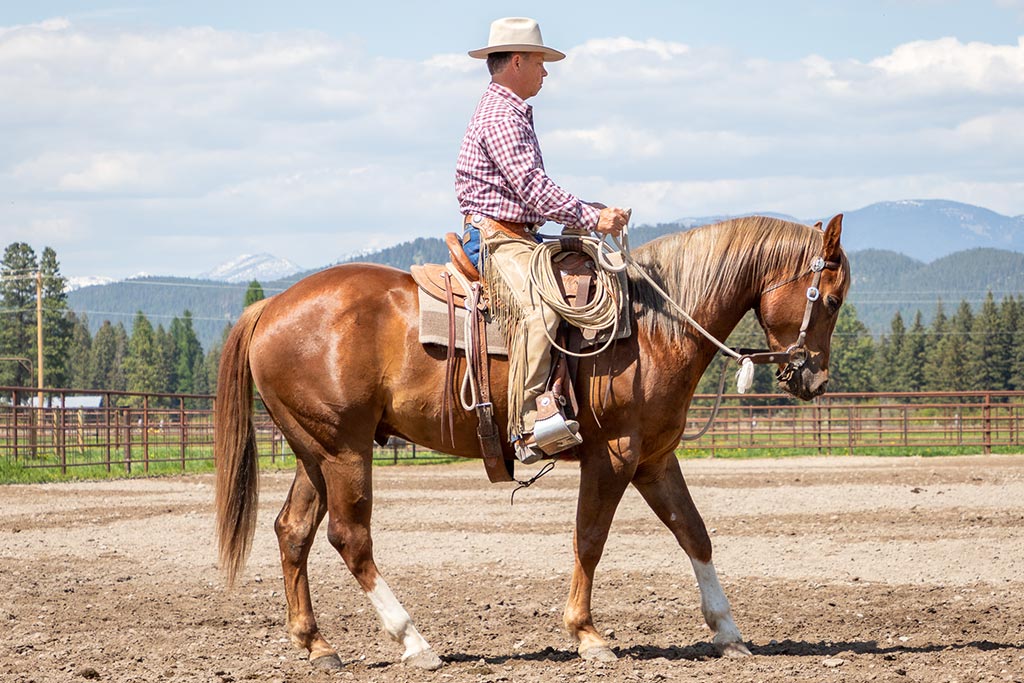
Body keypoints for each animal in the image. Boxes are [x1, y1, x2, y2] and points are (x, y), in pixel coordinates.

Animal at [214, 215, 847, 671]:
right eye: (834, 298)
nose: (813, 379)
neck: (651, 328)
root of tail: (270, 305)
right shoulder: (614, 455)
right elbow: (589, 538)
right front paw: (588, 635)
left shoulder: (654, 459)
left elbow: (695, 533)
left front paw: (728, 632)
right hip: (344, 451)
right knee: (350, 538)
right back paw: (415, 642)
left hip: (314, 452)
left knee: (293, 530)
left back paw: (318, 646)